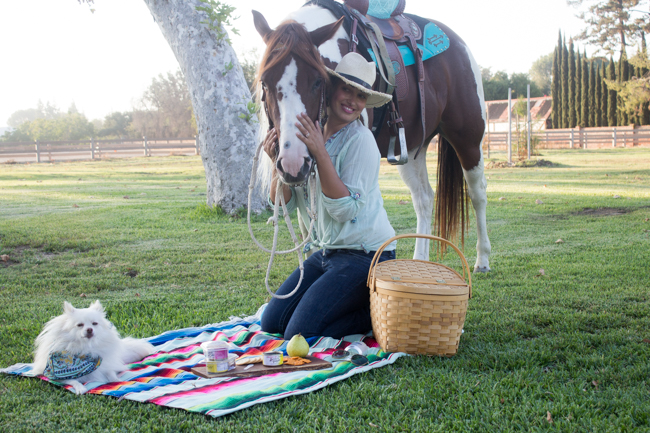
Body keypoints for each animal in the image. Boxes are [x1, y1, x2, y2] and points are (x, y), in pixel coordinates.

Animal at [252, 2, 491, 272]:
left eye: (317, 82)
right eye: (265, 82)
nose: (292, 162)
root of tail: (457, 43)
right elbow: (305, 224)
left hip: (468, 139)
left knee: (478, 193)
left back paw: (482, 259)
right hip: (412, 149)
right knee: (424, 198)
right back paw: (419, 260)